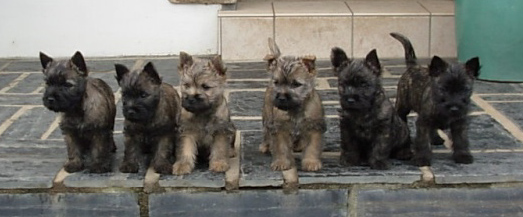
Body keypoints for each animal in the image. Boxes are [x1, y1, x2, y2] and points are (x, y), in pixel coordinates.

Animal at [390, 31, 482, 166]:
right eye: (443, 89)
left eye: (464, 90)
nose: (454, 108)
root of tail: (413, 67)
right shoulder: (423, 122)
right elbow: (423, 142)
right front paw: (422, 158)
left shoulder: (460, 123)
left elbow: (461, 140)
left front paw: (463, 155)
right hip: (402, 105)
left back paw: (435, 138)